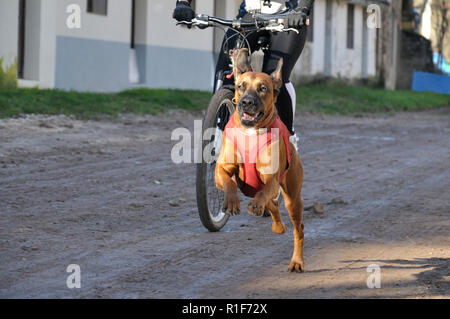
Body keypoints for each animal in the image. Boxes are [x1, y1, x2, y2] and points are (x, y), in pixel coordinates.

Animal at [215, 48, 306, 274]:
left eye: (263, 88)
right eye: (240, 86)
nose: (247, 102)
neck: (250, 132)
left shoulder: (271, 177)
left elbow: (265, 192)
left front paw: (256, 205)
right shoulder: (221, 170)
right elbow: (228, 182)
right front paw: (231, 202)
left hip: (293, 198)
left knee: (297, 227)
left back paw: (297, 261)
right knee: (272, 204)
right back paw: (277, 225)